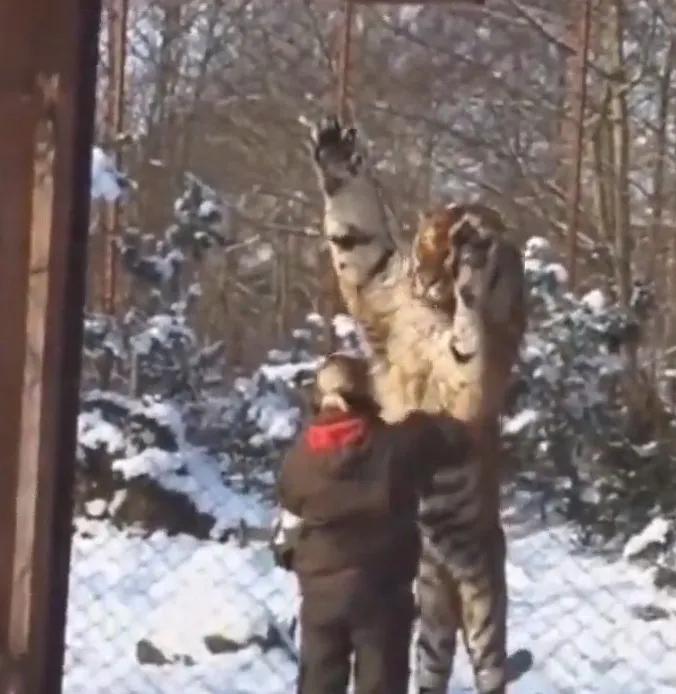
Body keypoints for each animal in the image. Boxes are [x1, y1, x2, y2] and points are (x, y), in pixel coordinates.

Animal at [310, 117, 528, 693]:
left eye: (448, 251)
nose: (425, 276)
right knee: (431, 669)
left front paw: (474, 272)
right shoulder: (373, 279)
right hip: (429, 613)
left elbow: (468, 343)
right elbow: (355, 231)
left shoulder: (466, 386)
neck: (431, 307)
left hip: (483, 610)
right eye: (425, 240)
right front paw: (336, 151)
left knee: (491, 671)